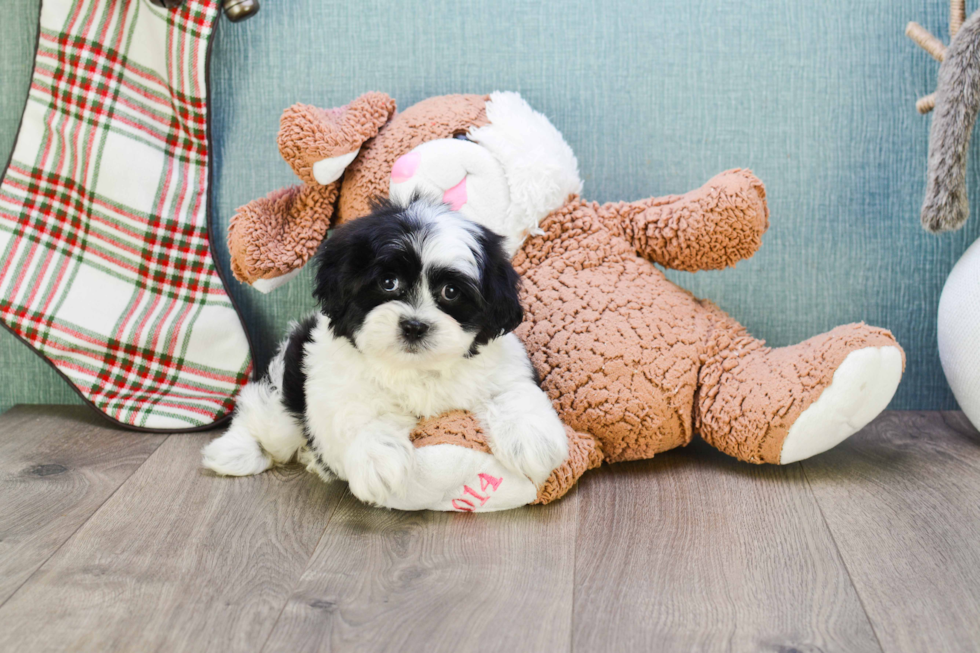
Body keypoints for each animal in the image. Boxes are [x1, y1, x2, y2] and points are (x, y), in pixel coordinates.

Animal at [201, 196, 568, 506]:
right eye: (388, 283)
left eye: (451, 292)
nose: (414, 326)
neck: (416, 368)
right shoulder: (336, 386)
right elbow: (358, 417)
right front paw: (378, 461)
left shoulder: (504, 363)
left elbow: (513, 391)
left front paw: (533, 441)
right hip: (283, 400)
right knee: (260, 416)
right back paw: (234, 452)